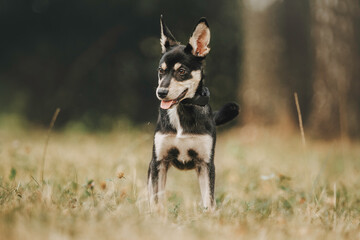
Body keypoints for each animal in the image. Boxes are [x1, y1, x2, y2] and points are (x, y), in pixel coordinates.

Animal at [147, 15, 239, 210]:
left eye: (182, 71)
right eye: (161, 71)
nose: (161, 93)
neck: (183, 109)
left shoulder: (206, 164)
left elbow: (209, 201)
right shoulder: (158, 162)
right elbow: (157, 199)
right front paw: (156, 214)